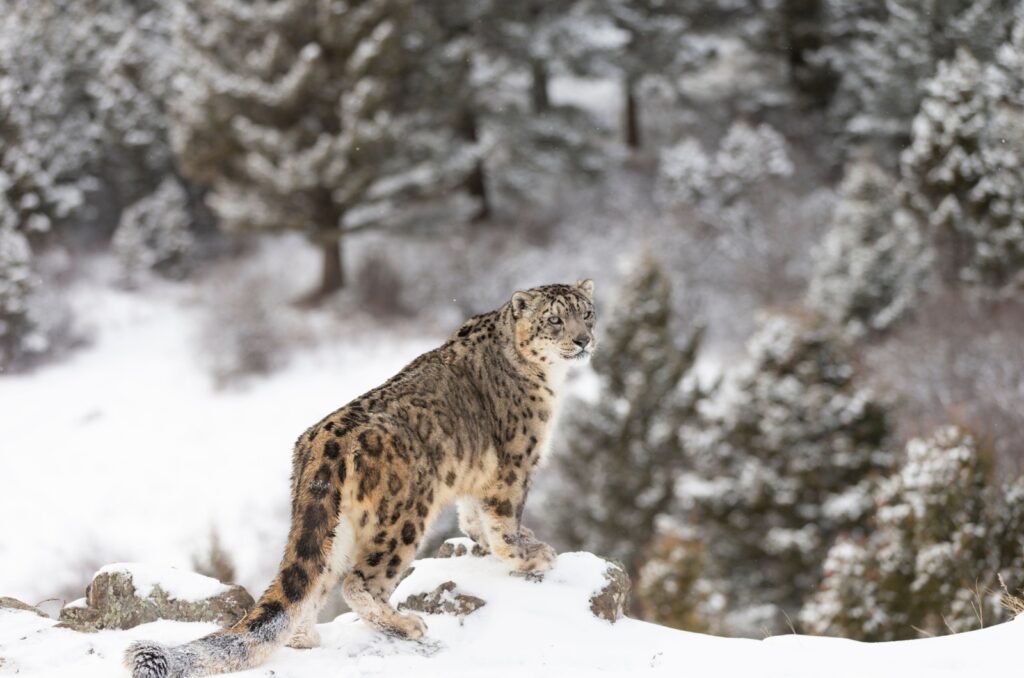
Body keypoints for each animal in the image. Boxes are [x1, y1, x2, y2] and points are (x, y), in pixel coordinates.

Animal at [123, 278, 598, 675]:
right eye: (555, 318)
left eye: (588, 312)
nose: (584, 339)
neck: (549, 379)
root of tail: (320, 443)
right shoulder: (515, 465)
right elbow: (503, 520)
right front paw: (529, 555)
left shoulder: (476, 476)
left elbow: (472, 517)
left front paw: (496, 543)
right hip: (404, 516)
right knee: (360, 582)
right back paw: (405, 624)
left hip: (336, 527)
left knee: (314, 583)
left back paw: (306, 637)